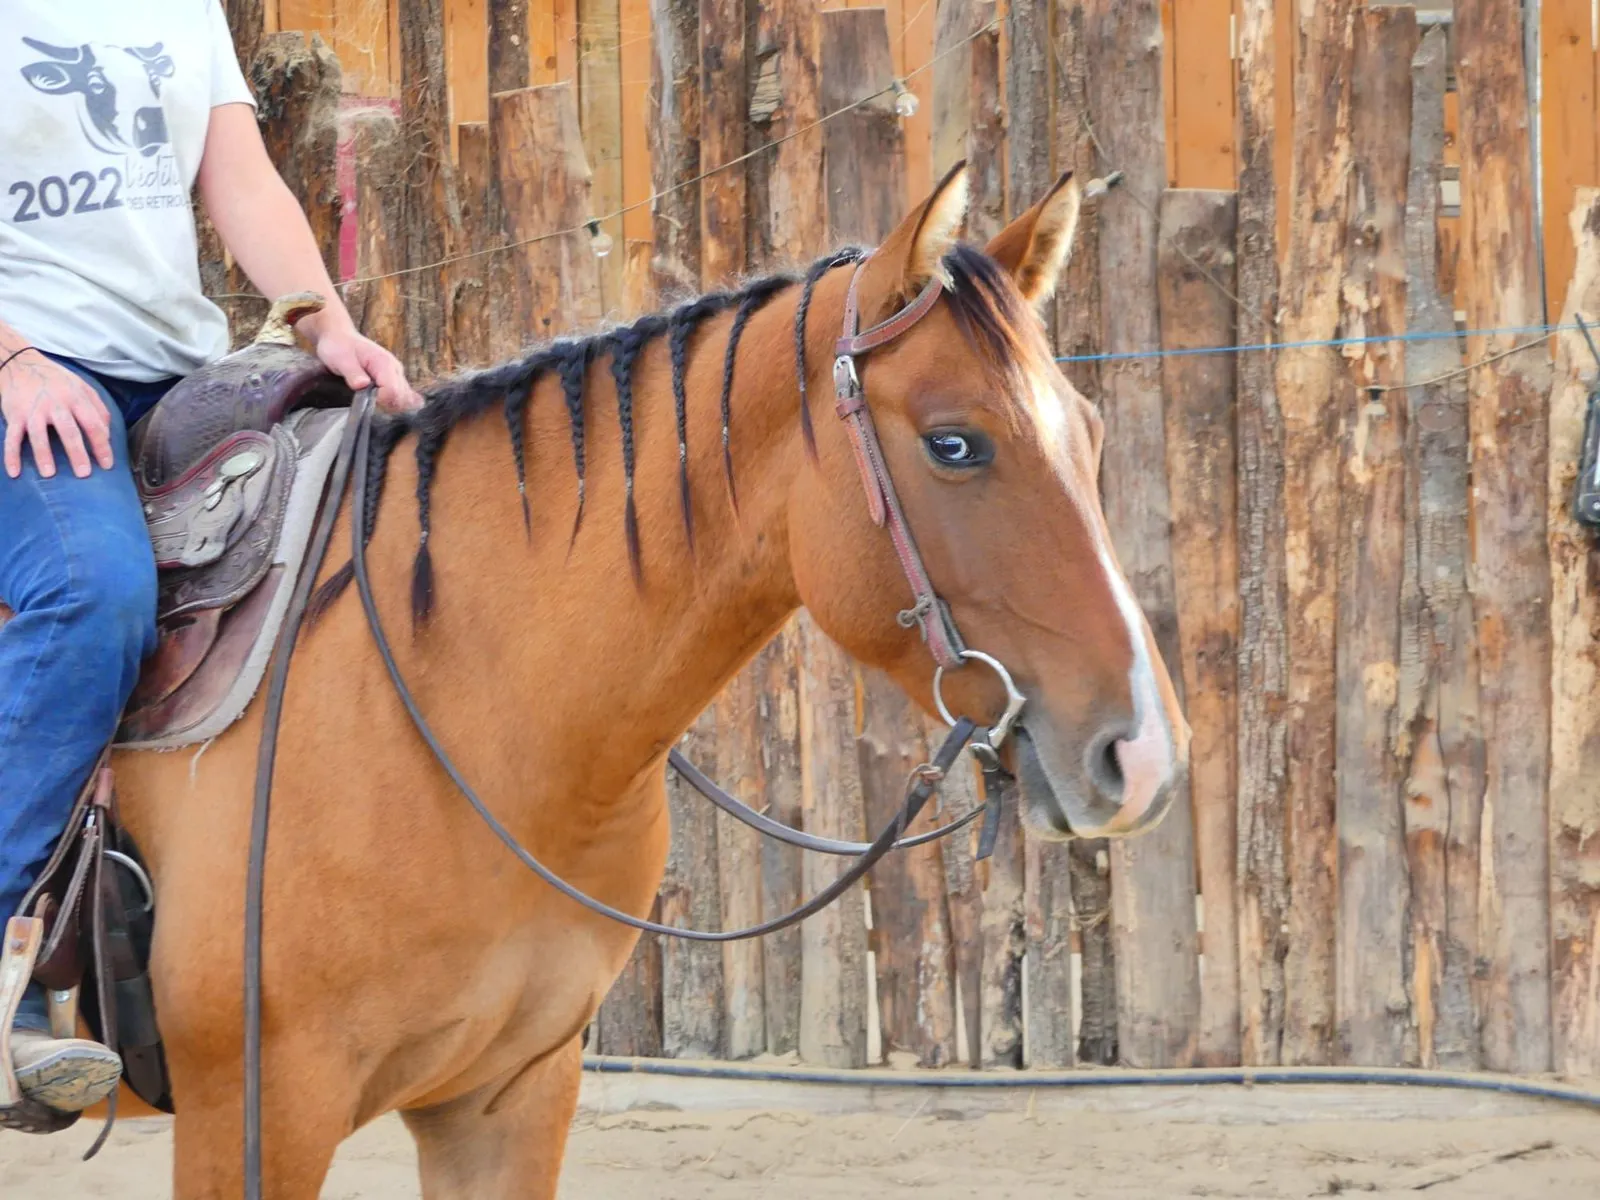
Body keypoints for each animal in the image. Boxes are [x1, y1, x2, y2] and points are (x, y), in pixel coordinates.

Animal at [79, 163, 1188, 1196]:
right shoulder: (261, 1113)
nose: (1143, 758)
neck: (459, 708)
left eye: (1090, 435)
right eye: (953, 443)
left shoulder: (508, 1098)